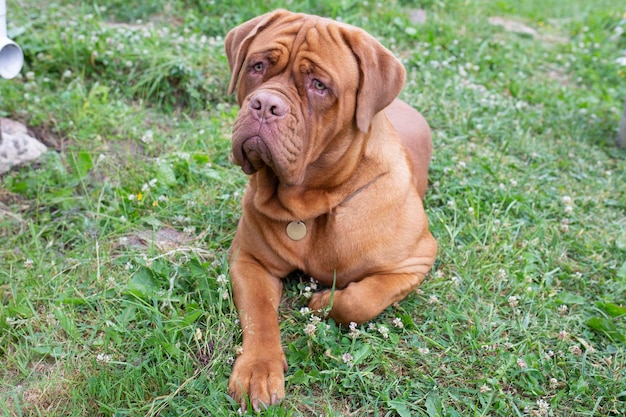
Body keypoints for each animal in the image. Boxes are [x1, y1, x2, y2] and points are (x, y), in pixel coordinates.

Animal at [223, 9, 434, 410]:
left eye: (319, 85)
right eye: (257, 65)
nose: (265, 105)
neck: (313, 205)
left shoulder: (416, 259)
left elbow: (363, 301)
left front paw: (323, 301)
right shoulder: (249, 260)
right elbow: (259, 315)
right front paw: (258, 369)